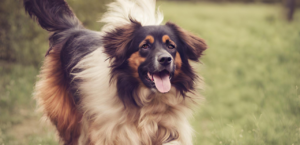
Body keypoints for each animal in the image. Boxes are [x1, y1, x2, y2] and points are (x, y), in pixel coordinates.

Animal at [24, 0, 206, 144]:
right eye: (145, 46)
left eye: (171, 46)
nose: (165, 59)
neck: (145, 102)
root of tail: (73, 31)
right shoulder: (111, 132)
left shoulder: (167, 129)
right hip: (68, 118)